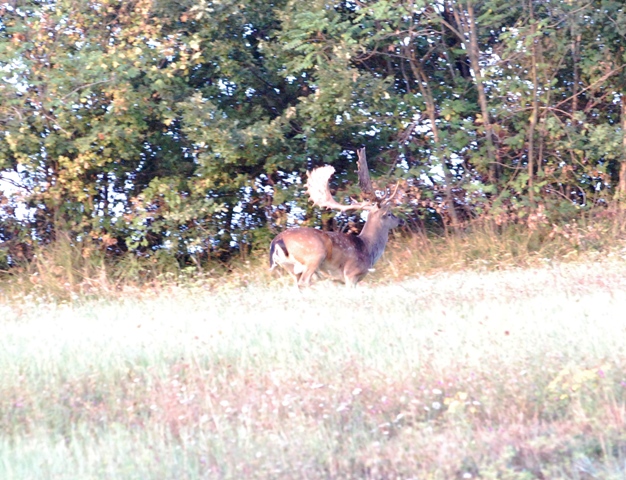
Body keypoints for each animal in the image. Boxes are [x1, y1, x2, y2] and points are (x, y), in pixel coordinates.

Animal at [266, 148, 402, 286]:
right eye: (389, 213)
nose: (399, 220)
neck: (368, 249)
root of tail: (276, 241)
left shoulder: (338, 281)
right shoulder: (351, 274)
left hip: (290, 267)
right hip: (314, 256)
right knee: (304, 282)